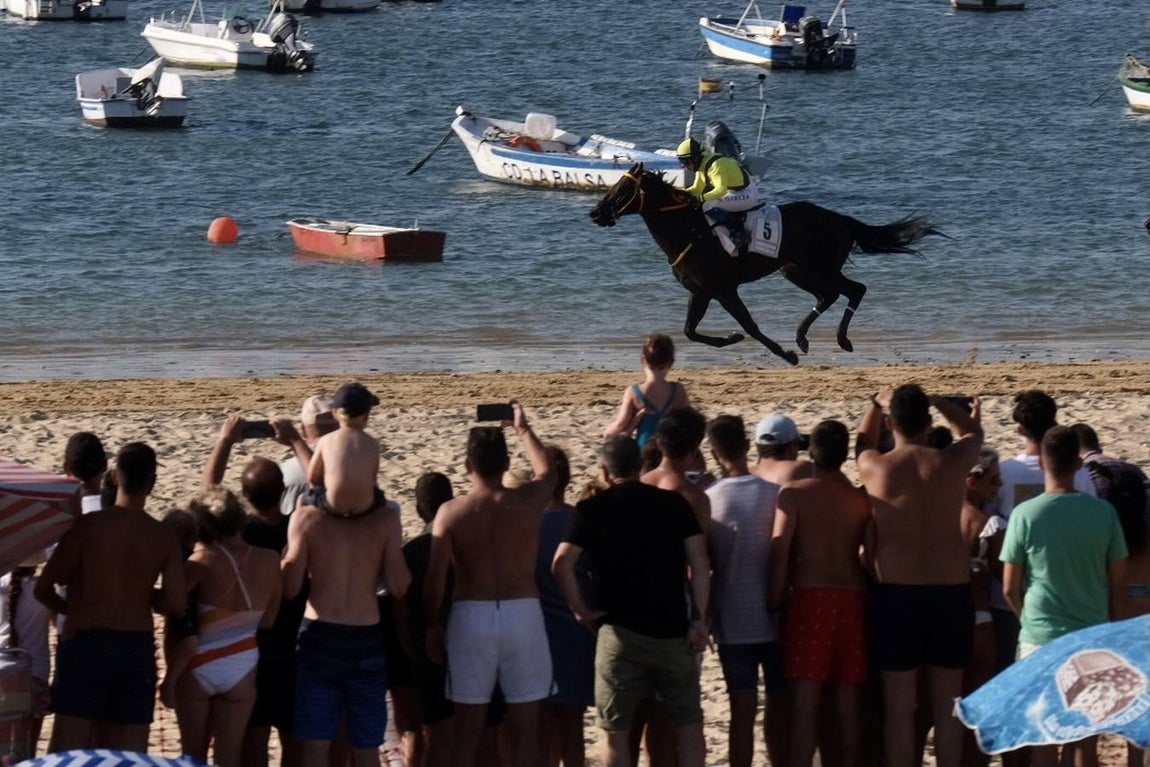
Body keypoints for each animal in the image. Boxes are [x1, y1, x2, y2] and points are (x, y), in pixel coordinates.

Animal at [589, 163, 944, 366]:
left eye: (623, 188)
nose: (596, 213)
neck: (687, 230)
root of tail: (841, 219)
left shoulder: (724, 289)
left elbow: (750, 326)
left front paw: (783, 354)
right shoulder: (701, 291)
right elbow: (689, 331)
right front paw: (730, 339)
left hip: (817, 268)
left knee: (854, 289)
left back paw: (837, 340)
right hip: (796, 270)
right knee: (831, 295)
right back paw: (803, 338)